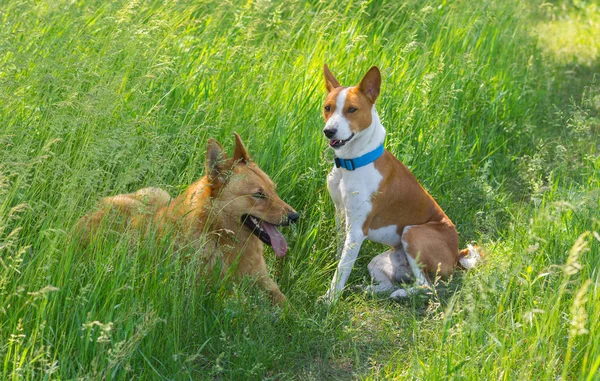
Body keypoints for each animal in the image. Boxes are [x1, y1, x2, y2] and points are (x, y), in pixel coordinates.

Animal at [76, 134, 298, 306]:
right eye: (259, 195)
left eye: (274, 190)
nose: (295, 217)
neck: (219, 235)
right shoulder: (215, 293)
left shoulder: (265, 282)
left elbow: (289, 308)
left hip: (159, 195)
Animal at [322, 65, 480, 302]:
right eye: (328, 108)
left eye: (352, 109)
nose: (328, 131)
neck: (352, 163)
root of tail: (456, 255)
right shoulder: (341, 214)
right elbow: (341, 256)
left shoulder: (357, 230)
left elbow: (342, 269)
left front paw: (330, 299)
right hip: (380, 261)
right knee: (391, 283)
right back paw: (370, 289)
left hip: (412, 234)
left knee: (426, 287)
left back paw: (401, 293)